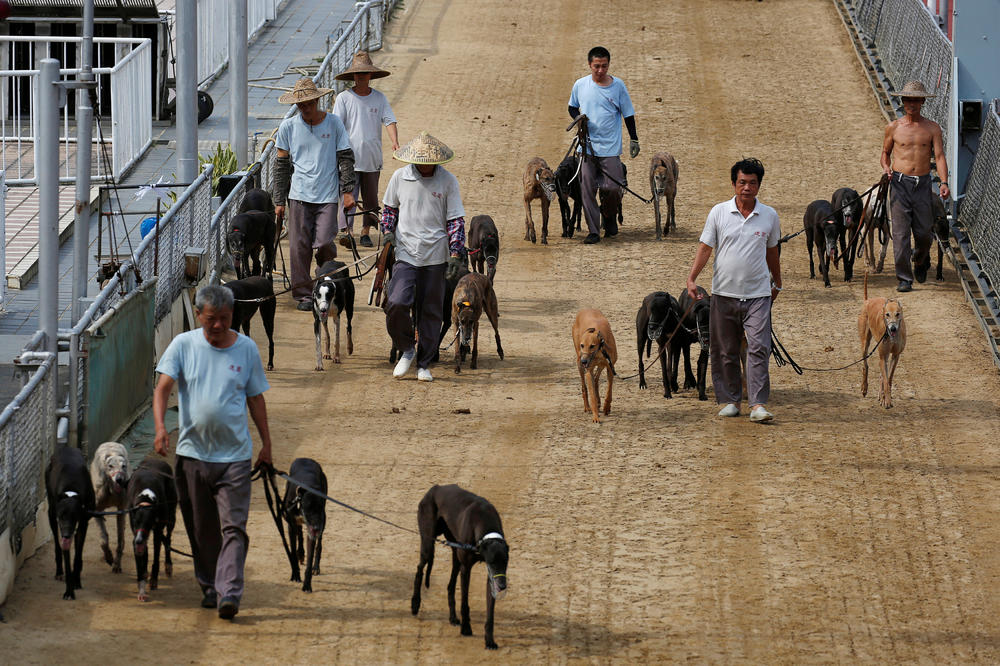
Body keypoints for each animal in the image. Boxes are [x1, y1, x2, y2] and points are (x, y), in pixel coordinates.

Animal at [44, 446, 94, 596]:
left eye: (74, 516)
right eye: (61, 516)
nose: (66, 535)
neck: (71, 490)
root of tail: (66, 447)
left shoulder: (83, 522)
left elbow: (77, 555)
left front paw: (76, 580)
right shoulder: (60, 523)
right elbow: (65, 552)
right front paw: (69, 589)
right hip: (51, 515)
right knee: (57, 544)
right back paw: (60, 572)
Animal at [127, 456, 178, 600]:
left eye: (147, 523)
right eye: (135, 522)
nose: (138, 541)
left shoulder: (156, 530)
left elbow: (156, 554)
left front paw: (154, 580)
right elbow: (142, 555)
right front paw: (142, 581)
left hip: (171, 517)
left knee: (168, 539)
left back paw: (168, 565)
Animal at [282, 456, 328, 592]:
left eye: (320, 508)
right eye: (308, 508)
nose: (317, 528)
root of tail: (305, 458)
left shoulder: (314, 528)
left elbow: (310, 556)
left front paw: (307, 584)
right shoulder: (291, 525)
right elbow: (292, 551)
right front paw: (295, 575)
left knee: (319, 544)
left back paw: (316, 567)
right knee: (299, 533)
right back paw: (301, 553)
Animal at [412, 482, 508, 648]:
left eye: (506, 562)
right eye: (492, 562)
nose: (502, 586)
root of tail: (435, 488)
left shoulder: (490, 576)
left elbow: (490, 612)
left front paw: (489, 640)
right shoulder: (466, 568)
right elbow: (465, 603)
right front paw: (466, 628)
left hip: (455, 553)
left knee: (450, 586)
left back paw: (453, 617)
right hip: (428, 543)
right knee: (419, 569)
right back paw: (415, 604)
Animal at [860, 274, 908, 408]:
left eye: (898, 314)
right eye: (887, 314)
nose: (893, 328)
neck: (891, 337)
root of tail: (868, 300)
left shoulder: (895, 355)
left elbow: (889, 378)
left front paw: (885, 398)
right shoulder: (883, 356)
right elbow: (886, 379)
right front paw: (886, 400)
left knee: (882, 374)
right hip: (865, 342)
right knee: (865, 365)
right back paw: (864, 388)